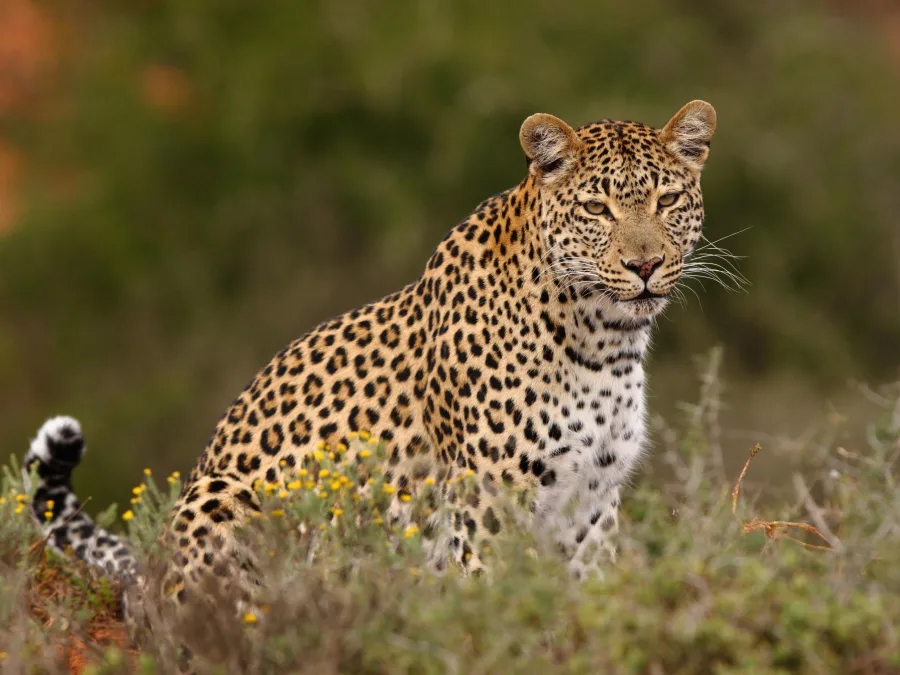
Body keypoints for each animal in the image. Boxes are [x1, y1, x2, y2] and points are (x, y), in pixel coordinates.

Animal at [24, 100, 717, 620]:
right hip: (222, 498)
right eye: (597, 209)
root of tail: (143, 582)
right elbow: (496, 604)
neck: (603, 340)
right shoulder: (492, 498)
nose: (645, 264)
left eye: (666, 201)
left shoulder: (592, 500)